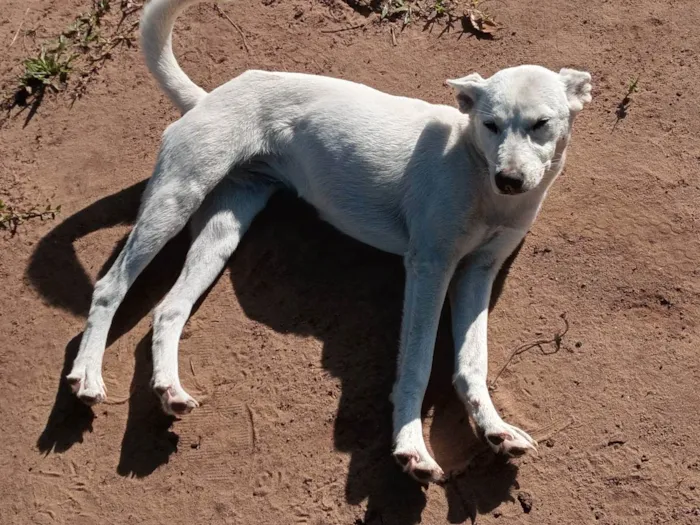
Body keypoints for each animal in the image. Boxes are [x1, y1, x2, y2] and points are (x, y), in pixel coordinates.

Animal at [65, 0, 592, 484]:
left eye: (541, 124)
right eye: (490, 125)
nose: (510, 179)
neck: (475, 172)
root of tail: (206, 99)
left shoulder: (477, 273)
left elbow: (471, 363)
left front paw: (494, 428)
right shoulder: (429, 266)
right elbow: (418, 362)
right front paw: (410, 447)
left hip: (223, 231)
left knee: (168, 309)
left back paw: (169, 390)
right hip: (174, 201)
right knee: (110, 286)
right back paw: (88, 375)